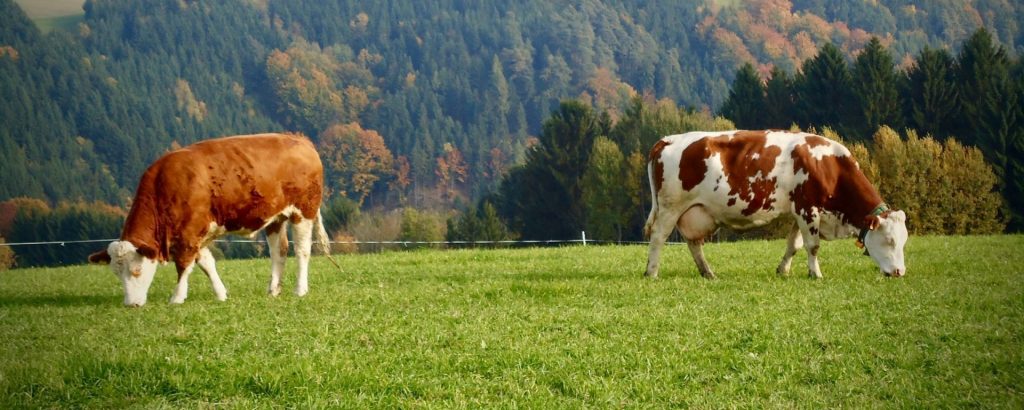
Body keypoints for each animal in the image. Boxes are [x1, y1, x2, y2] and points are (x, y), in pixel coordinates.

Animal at [88, 133, 335, 305]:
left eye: (137, 270)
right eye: (115, 272)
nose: (131, 304)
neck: (164, 186)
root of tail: (300, 140)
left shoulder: (189, 232)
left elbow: (184, 265)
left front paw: (177, 298)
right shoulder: (196, 233)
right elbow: (206, 263)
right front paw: (221, 294)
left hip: (303, 211)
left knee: (302, 250)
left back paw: (300, 289)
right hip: (276, 217)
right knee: (279, 252)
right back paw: (273, 290)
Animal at [643, 129, 909, 280]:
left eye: (903, 241)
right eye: (889, 240)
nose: (900, 272)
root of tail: (667, 139)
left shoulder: (799, 212)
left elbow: (794, 245)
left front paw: (784, 270)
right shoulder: (808, 208)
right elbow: (813, 246)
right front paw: (816, 274)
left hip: (694, 212)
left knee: (693, 243)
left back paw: (708, 272)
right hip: (670, 207)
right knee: (658, 237)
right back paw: (652, 272)